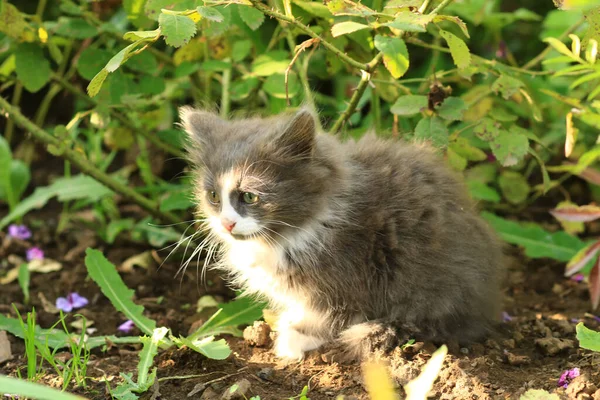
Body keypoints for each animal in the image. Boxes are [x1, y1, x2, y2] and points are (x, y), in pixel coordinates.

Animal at [180, 106, 504, 360]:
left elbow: (332, 312)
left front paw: (297, 337)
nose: (226, 223)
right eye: (213, 196)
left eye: (249, 197)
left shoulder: (349, 275)